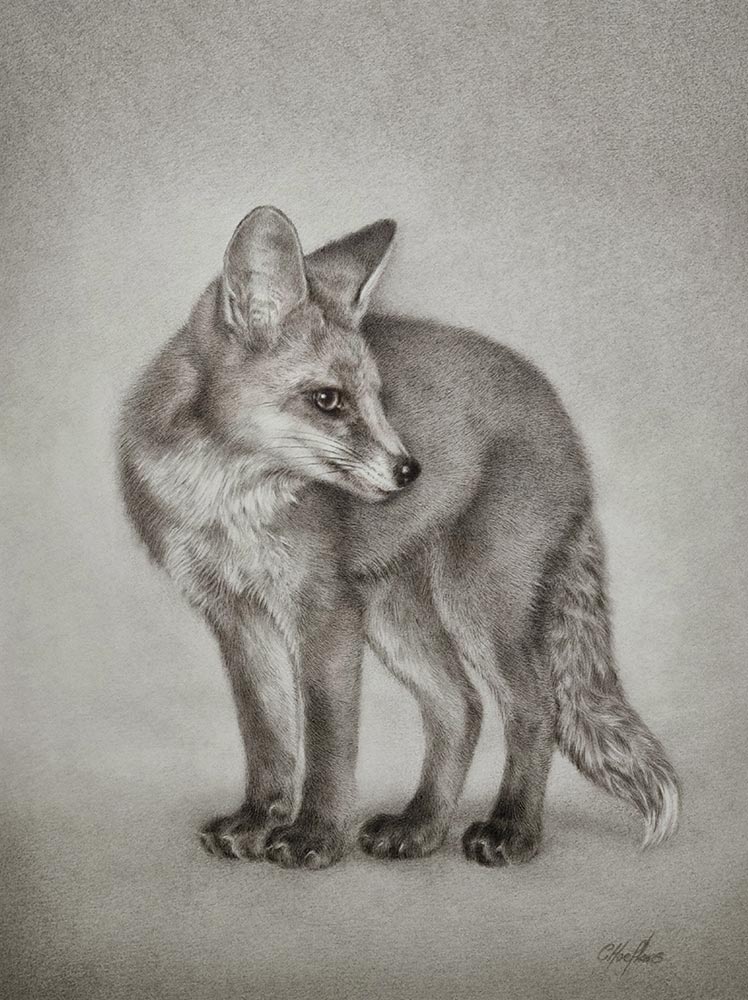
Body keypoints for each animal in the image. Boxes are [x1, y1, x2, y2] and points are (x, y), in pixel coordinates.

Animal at [118, 205, 680, 870]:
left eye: (379, 399)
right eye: (328, 400)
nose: (410, 471)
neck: (225, 499)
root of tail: (561, 416)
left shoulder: (323, 610)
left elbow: (329, 741)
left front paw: (314, 834)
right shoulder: (236, 614)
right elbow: (268, 735)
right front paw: (258, 819)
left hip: (475, 603)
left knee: (533, 704)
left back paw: (512, 827)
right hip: (394, 614)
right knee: (461, 707)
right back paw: (421, 825)